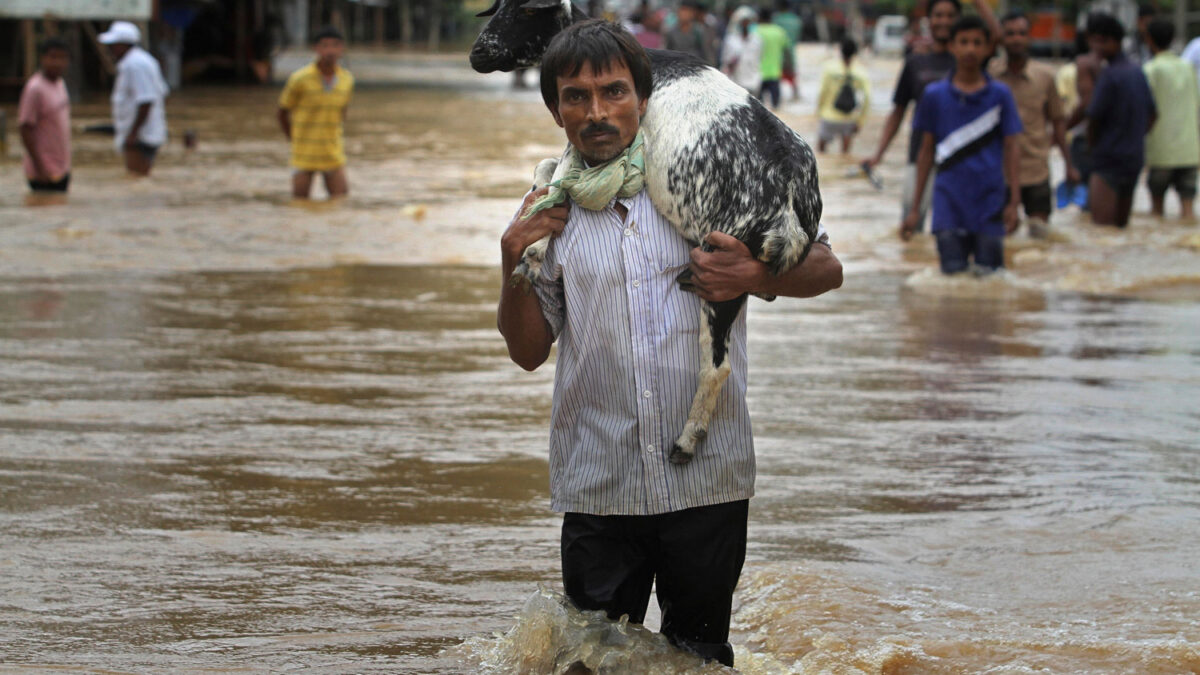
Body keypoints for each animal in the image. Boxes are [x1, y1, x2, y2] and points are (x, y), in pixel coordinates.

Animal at [472, 0, 820, 458]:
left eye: (525, 12)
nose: (478, 53)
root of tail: (789, 204)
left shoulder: (577, 149)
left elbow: (558, 175)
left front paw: (532, 250)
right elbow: (546, 171)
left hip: (723, 277)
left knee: (718, 365)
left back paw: (686, 441)